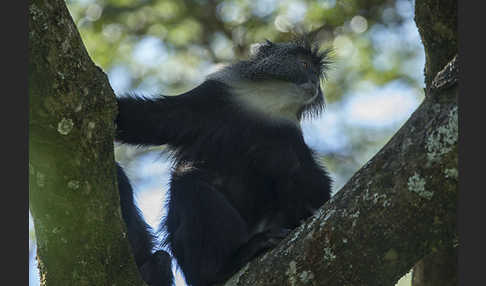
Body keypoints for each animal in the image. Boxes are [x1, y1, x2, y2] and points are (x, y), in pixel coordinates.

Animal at [115, 34, 332, 286]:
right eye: (305, 65)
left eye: (316, 73)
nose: (314, 82)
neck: (267, 103)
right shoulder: (214, 96)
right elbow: (149, 119)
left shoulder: (290, 135)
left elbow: (318, 193)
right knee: (188, 180)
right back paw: (220, 269)